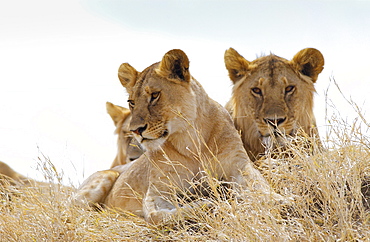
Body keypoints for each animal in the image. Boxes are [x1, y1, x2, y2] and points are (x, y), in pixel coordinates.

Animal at [76, 48, 286, 225]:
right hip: (103, 178)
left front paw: (281, 201)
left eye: (154, 95)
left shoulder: (240, 166)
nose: (135, 130)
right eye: (131, 102)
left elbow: (260, 187)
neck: (190, 139)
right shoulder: (159, 190)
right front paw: (206, 204)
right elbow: (157, 216)